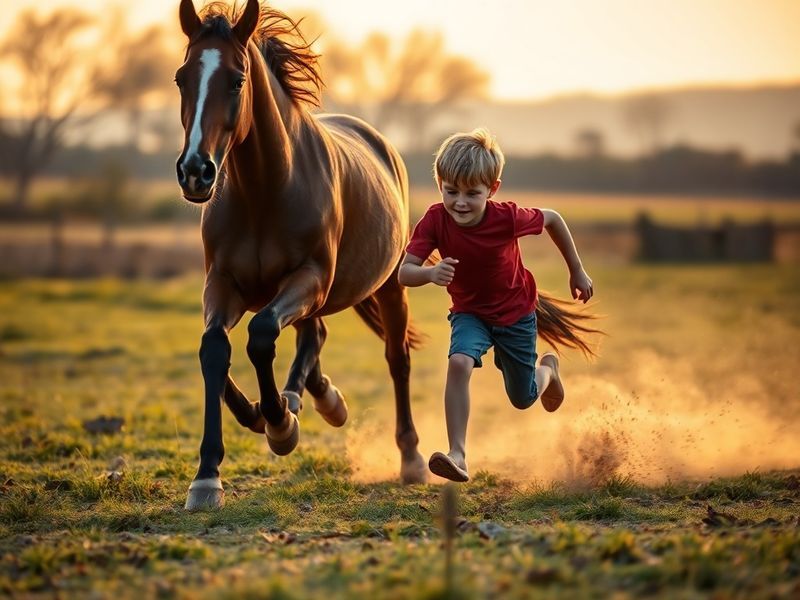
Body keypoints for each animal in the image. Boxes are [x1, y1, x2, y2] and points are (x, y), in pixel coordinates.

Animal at [175, 0, 428, 510]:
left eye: (237, 80)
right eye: (180, 78)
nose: (195, 172)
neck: (263, 193)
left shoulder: (308, 277)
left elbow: (259, 336)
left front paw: (278, 426)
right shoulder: (224, 284)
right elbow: (214, 349)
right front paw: (208, 475)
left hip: (386, 286)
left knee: (396, 359)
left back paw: (409, 458)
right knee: (314, 336)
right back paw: (319, 399)